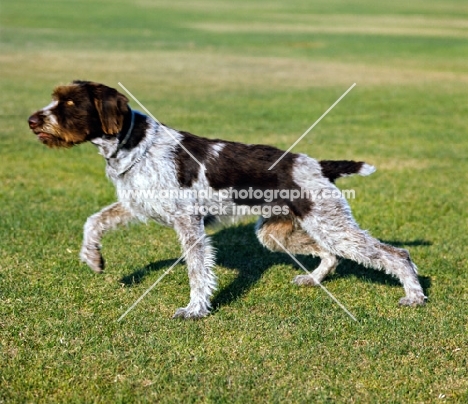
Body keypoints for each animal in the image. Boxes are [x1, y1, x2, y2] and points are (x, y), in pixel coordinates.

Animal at [27, 80, 426, 318]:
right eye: (55, 99)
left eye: (70, 103)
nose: (32, 120)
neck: (134, 143)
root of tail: (317, 165)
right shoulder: (136, 206)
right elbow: (93, 221)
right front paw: (93, 258)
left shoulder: (188, 224)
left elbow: (197, 271)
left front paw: (195, 309)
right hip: (278, 232)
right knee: (330, 253)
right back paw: (313, 280)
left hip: (330, 224)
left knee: (396, 254)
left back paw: (414, 296)